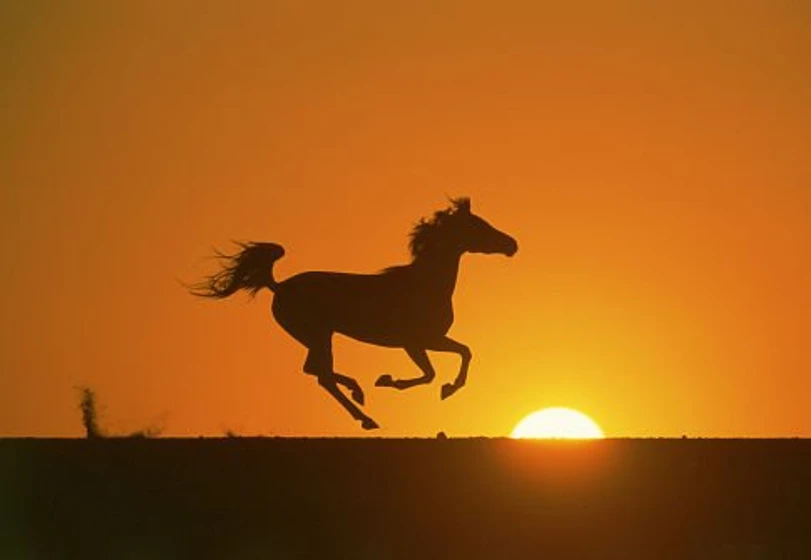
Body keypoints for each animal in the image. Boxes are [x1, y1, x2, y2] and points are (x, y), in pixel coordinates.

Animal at [190, 197, 517, 430]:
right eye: (479, 226)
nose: (512, 244)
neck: (425, 283)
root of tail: (278, 286)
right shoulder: (416, 342)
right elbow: (435, 370)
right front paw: (394, 381)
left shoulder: (428, 340)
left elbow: (462, 353)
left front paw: (445, 388)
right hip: (318, 334)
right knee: (322, 375)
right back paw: (366, 415)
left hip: (317, 336)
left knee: (314, 370)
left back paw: (358, 393)